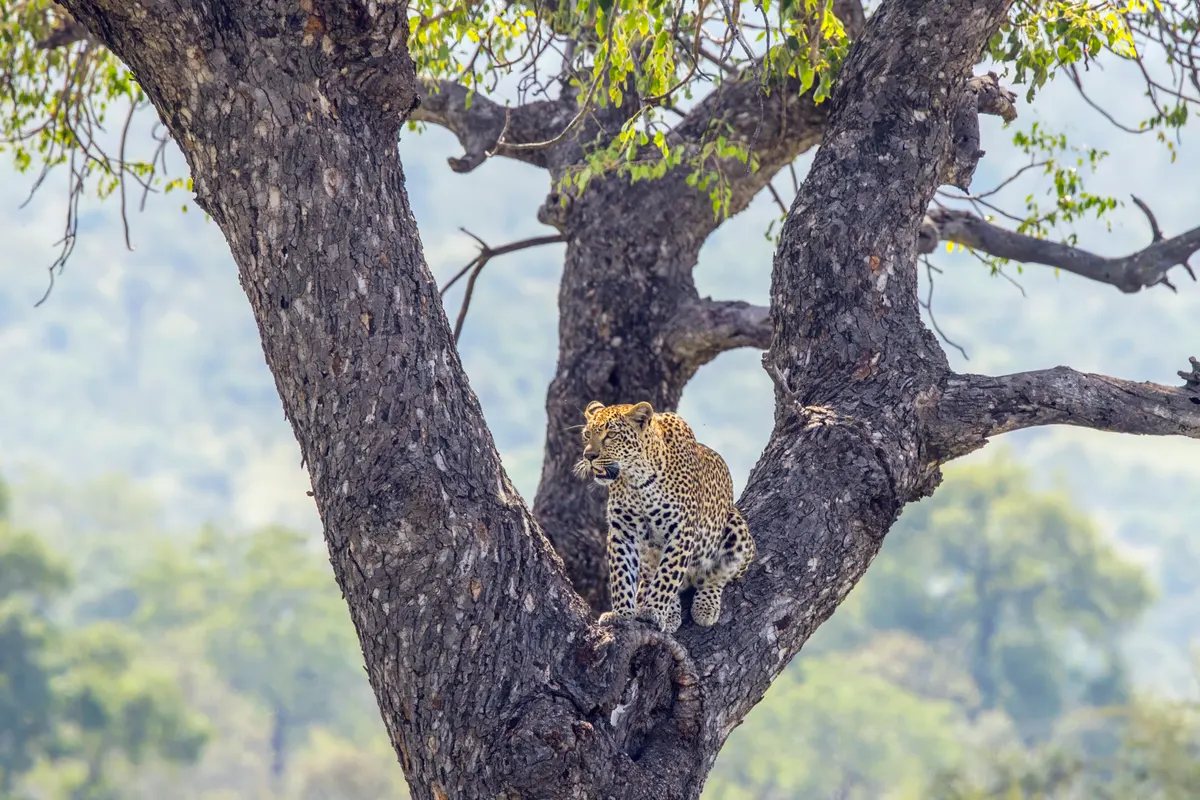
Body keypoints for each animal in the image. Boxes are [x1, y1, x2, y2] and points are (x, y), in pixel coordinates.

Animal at [574, 400, 756, 634]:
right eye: (587, 435)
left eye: (611, 434)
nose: (588, 457)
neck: (636, 480)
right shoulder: (622, 531)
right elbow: (622, 575)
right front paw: (622, 614)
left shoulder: (681, 531)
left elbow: (668, 574)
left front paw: (652, 612)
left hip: (736, 528)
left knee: (716, 575)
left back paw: (705, 607)